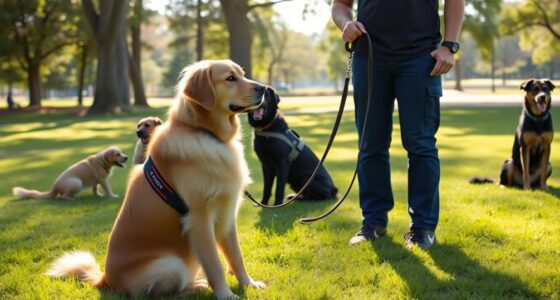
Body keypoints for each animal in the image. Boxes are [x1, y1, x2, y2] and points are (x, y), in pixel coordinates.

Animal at [47, 59, 266, 298]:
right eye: (230, 78)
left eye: (242, 74)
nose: (264, 88)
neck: (202, 132)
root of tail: (104, 280)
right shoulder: (199, 219)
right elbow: (214, 264)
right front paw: (226, 294)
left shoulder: (227, 214)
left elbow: (236, 256)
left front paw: (248, 284)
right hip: (172, 264)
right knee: (162, 293)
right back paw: (196, 286)